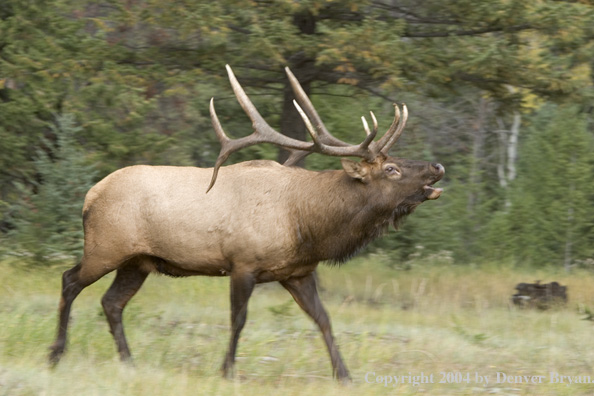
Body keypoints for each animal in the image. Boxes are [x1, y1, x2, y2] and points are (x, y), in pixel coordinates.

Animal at [48, 64, 442, 380]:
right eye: (391, 169)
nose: (436, 167)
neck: (307, 224)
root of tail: (90, 195)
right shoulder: (242, 263)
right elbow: (239, 319)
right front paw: (226, 371)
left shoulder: (298, 272)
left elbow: (324, 319)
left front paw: (344, 375)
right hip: (106, 247)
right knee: (69, 280)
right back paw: (56, 354)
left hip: (138, 262)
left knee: (111, 302)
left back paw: (128, 361)